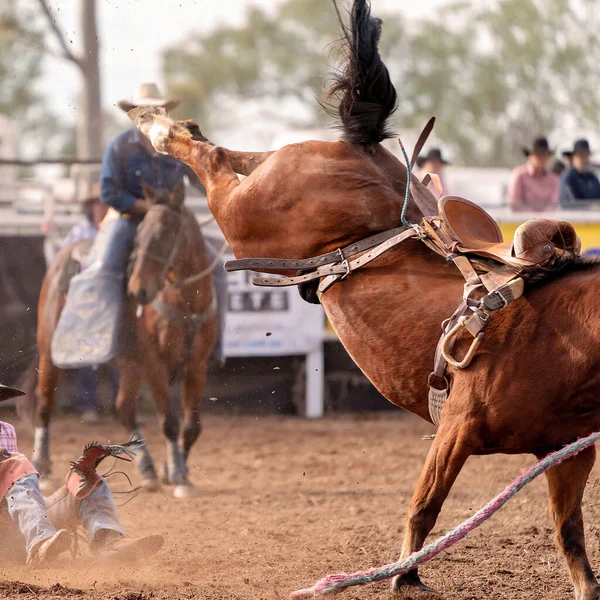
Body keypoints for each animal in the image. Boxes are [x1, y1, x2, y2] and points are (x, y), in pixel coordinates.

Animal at [29, 182, 218, 496]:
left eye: (164, 235)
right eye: (139, 236)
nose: (138, 290)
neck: (184, 301)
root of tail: (64, 254)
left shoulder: (198, 363)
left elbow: (192, 425)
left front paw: (174, 471)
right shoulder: (154, 362)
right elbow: (169, 421)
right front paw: (178, 475)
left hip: (129, 364)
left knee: (124, 408)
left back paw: (149, 469)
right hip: (49, 352)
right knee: (44, 405)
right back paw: (41, 467)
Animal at [132, 1, 600, 596]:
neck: (563, 337)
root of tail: (362, 150)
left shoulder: (570, 452)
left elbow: (570, 534)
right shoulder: (457, 426)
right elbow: (425, 505)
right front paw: (406, 576)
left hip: (268, 181)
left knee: (231, 151)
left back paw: (163, 120)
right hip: (245, 218)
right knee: (208, 158)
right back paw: (154, 123)